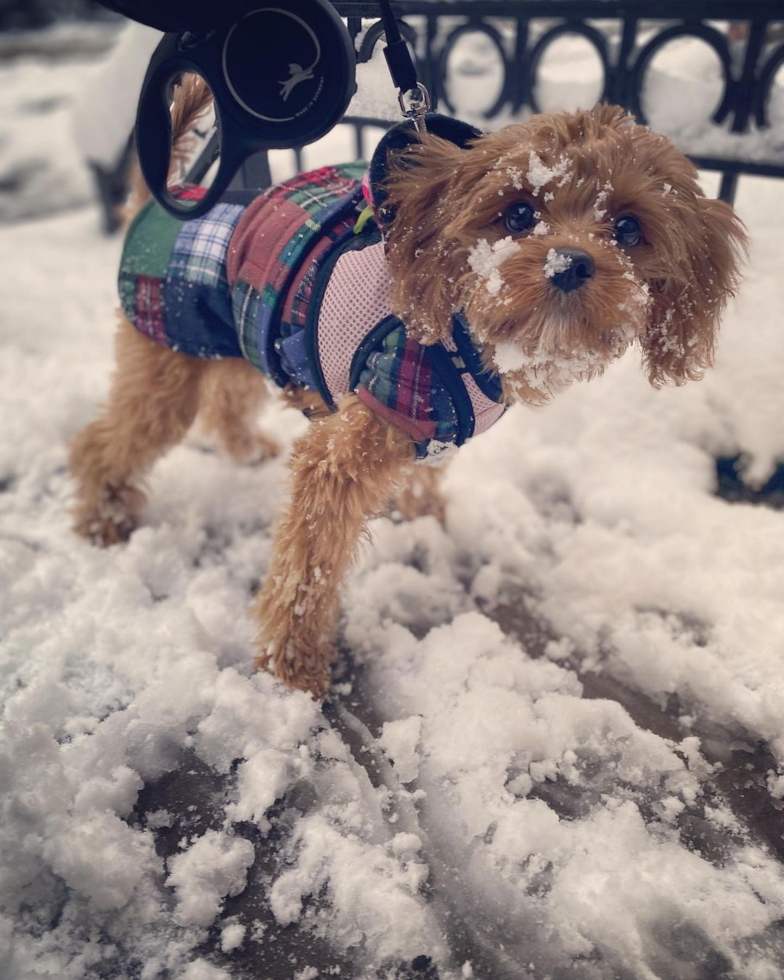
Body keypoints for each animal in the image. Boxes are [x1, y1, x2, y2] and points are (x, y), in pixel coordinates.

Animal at [69, 84, 748, 700]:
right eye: (518, 213)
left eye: (629, 228)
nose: (570, 263)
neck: (471, 337)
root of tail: (167, 200)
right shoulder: (349, 444)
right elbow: (308, 568)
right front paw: (292, 669)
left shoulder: (433, 425)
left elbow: (423, 476)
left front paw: (428, 521)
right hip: (168, 357)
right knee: (106, 441)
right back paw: (103, 519)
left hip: (238, 338)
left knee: (224, 403)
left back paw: (241, 450)